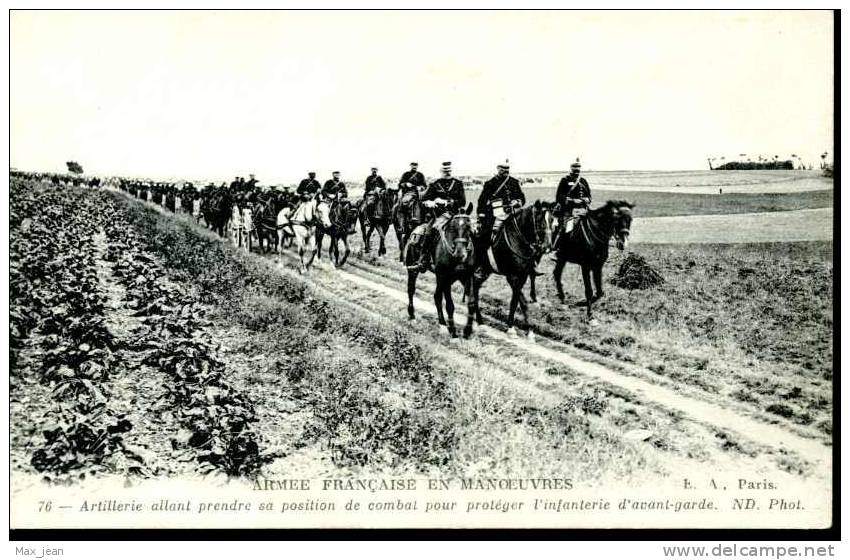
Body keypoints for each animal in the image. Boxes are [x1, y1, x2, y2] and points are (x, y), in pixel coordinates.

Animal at [400, 205, 474, 340]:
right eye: (453, 227)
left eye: (468, 226)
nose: (460, 253)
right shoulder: (445, 277)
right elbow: (450, 305)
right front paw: (453, 331)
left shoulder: (467, 277)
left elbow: (471, 304)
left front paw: (467, 330)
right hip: (415, 270)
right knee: (411, 289)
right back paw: (413, 315)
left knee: (436, 296)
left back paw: (442, 323)